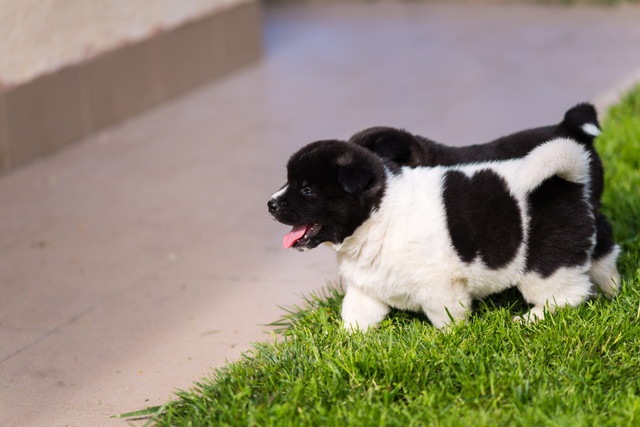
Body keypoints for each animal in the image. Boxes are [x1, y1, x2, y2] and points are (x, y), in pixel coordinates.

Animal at [272, 139, 600, 330]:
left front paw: (446, 340)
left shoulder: (439, 284)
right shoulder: (365, 287)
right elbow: (355, 316)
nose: (270, 204)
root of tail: (568, 182)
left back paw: (532, 318)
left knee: (567, 295)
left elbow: (446, 317)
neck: (378, 217)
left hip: (545, 263)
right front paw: (347, 345)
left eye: (307, 190)